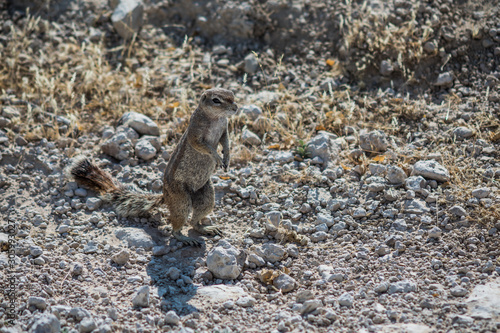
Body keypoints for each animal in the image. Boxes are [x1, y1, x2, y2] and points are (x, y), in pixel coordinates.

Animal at [68, 87, 238, 244]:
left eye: (232, 94)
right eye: (216, 100)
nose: (236, 108)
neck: (216, 118)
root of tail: (165, 195)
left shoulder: (224, 129)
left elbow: (226, 142)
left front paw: (227, 158)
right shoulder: (196, 130)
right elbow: (202, 146)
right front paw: (217, 157)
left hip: (206, 194)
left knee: (195, 220)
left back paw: (206, 228)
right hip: (181, 198)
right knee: (178, 224)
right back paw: (184, 238)